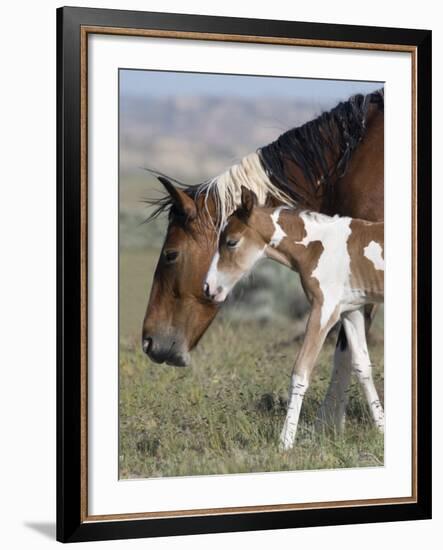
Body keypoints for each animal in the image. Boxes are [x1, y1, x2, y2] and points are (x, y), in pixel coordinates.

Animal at [205, 190, 386, 452]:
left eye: (231, 241)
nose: (209, 288)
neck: (318, 247)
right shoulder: (350, 310)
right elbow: (362, 367)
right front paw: (382, 430)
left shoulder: (324, 310)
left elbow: (300, 371)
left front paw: (285, 442)